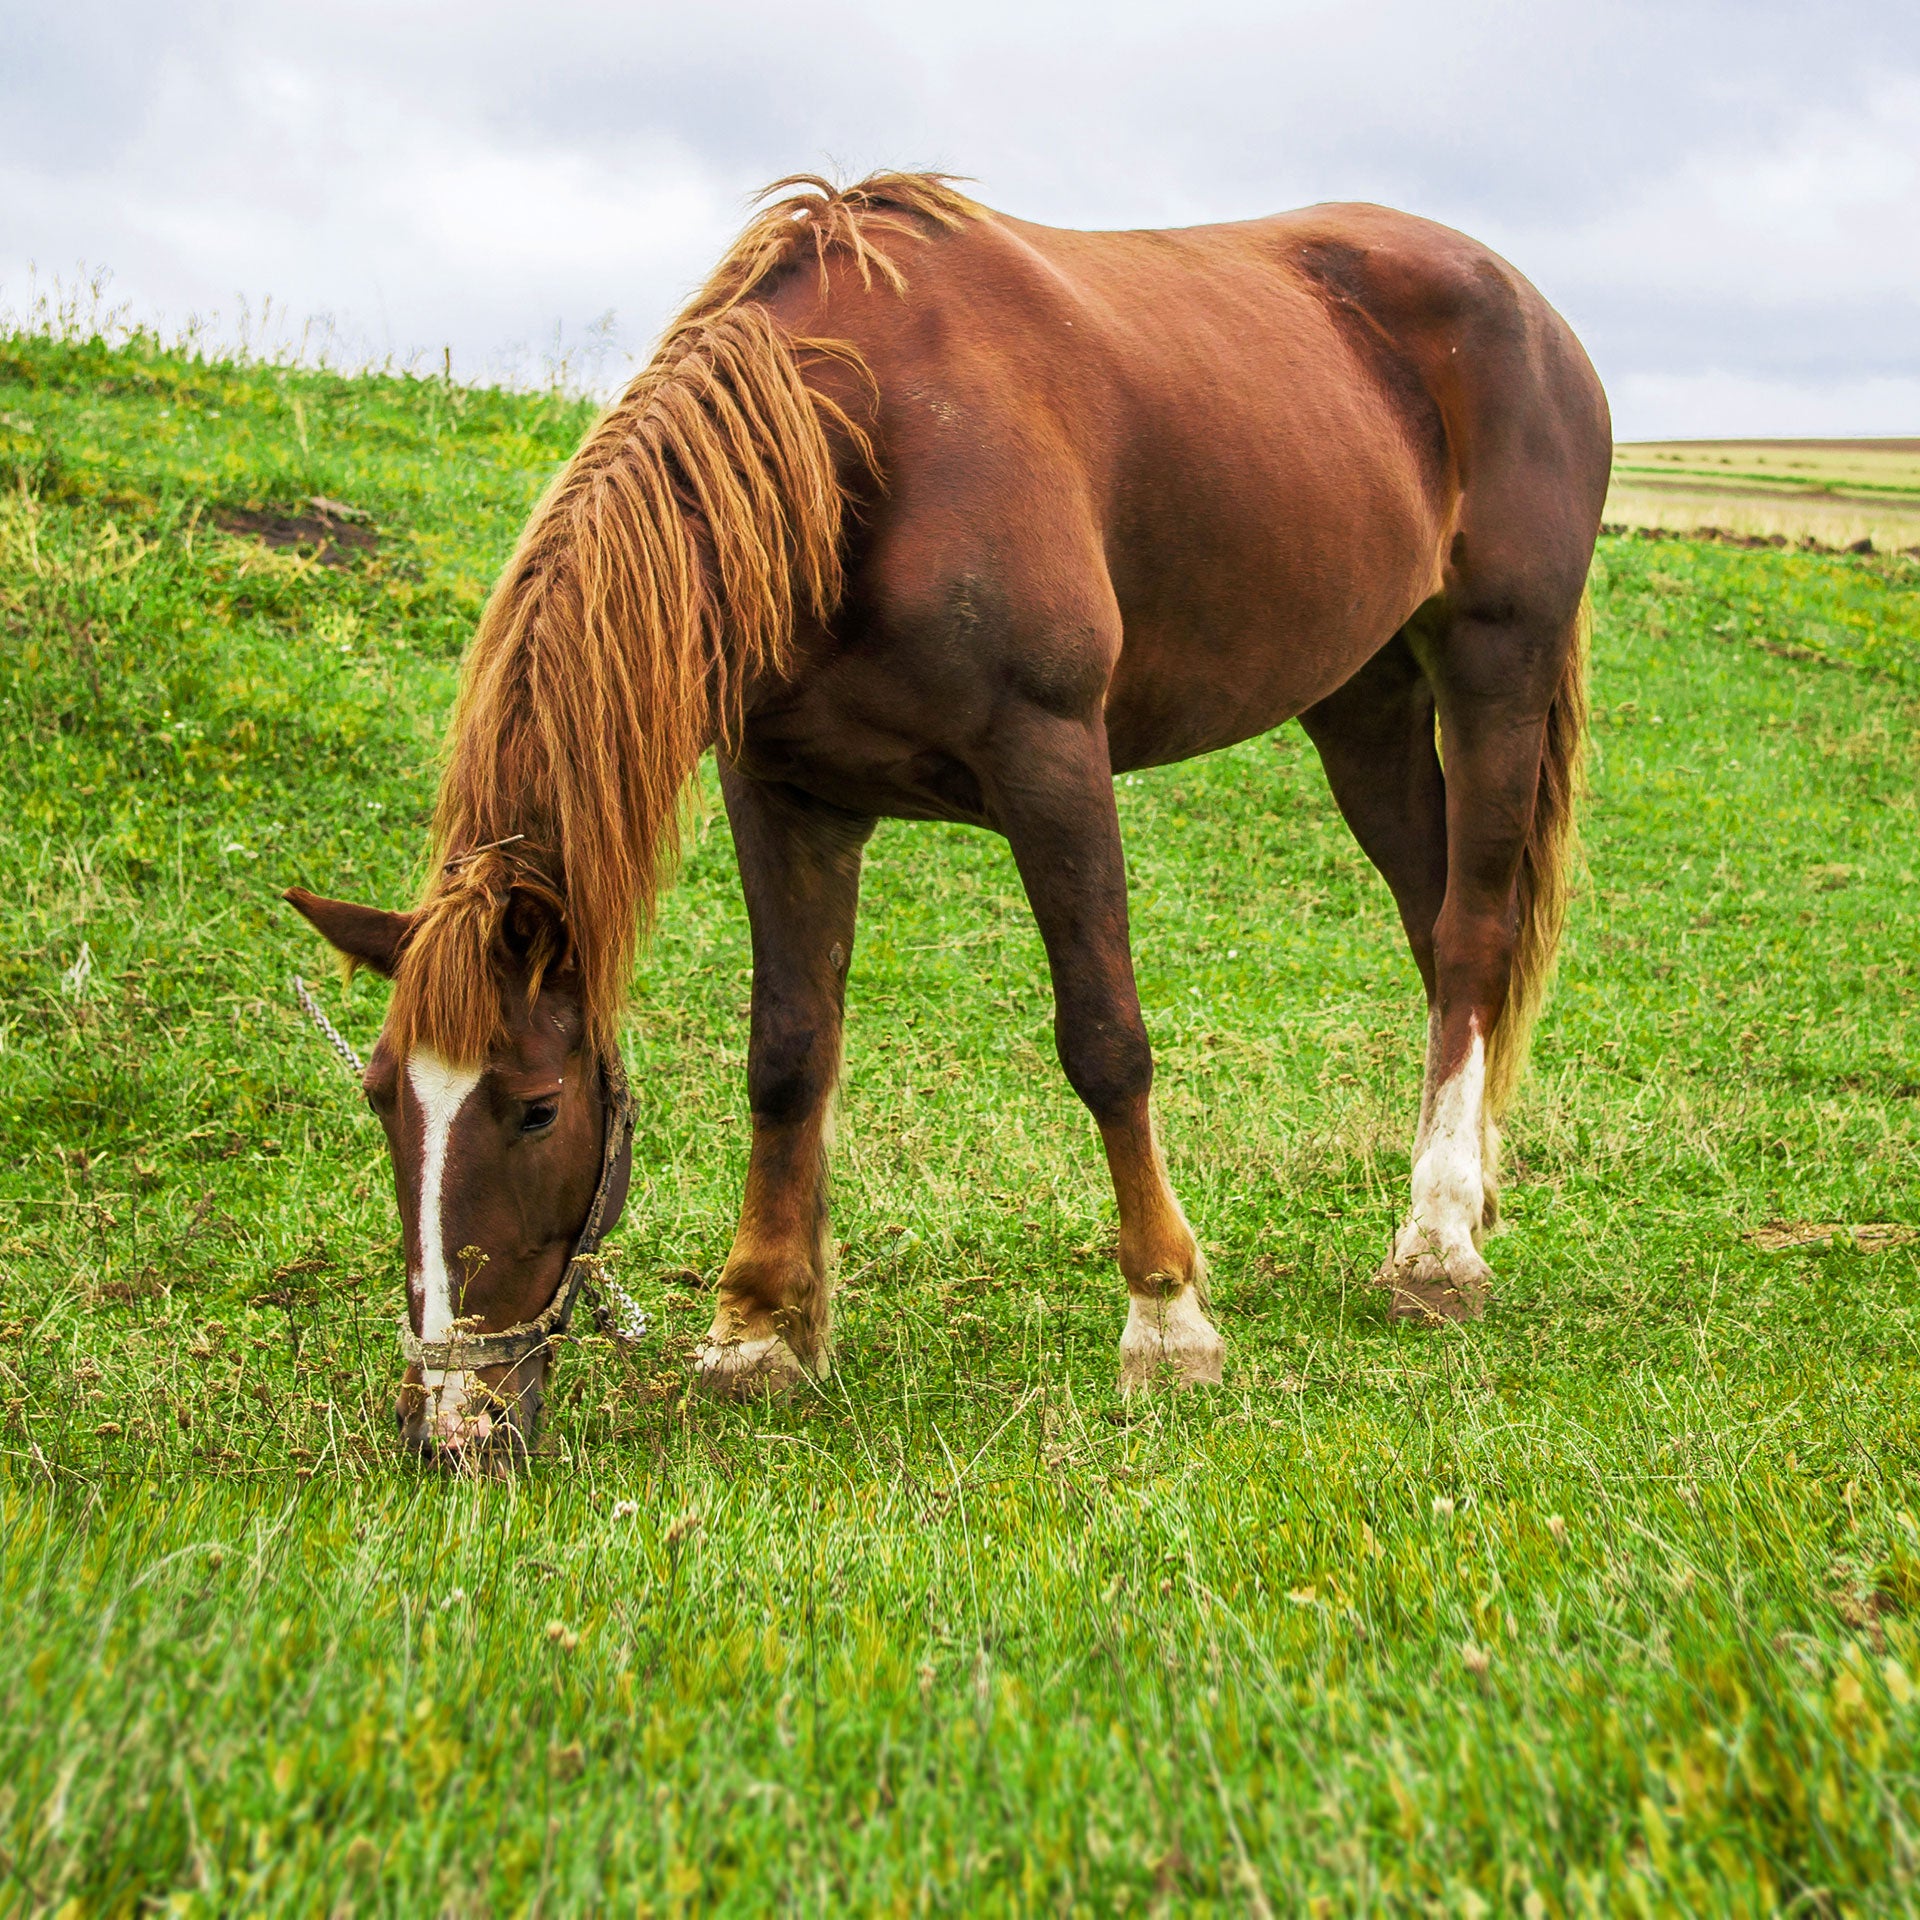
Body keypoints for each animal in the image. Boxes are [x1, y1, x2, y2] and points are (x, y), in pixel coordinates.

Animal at [284, 176, 1605, 1466]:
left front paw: (1167, 1318)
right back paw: (1466, 1191)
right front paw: (758, 1330)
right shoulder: (785, 796)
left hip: (1496, 664)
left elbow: (1104, 1038)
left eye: (537, 1107)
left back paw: (1438, 1249)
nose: (451, 1426)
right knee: (1439, 936)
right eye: (384, 1097)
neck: (859, 455)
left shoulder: (1053, 760)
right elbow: (788, 1052)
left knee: (1474, 933)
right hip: (1362, 703)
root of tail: (1534, 312)